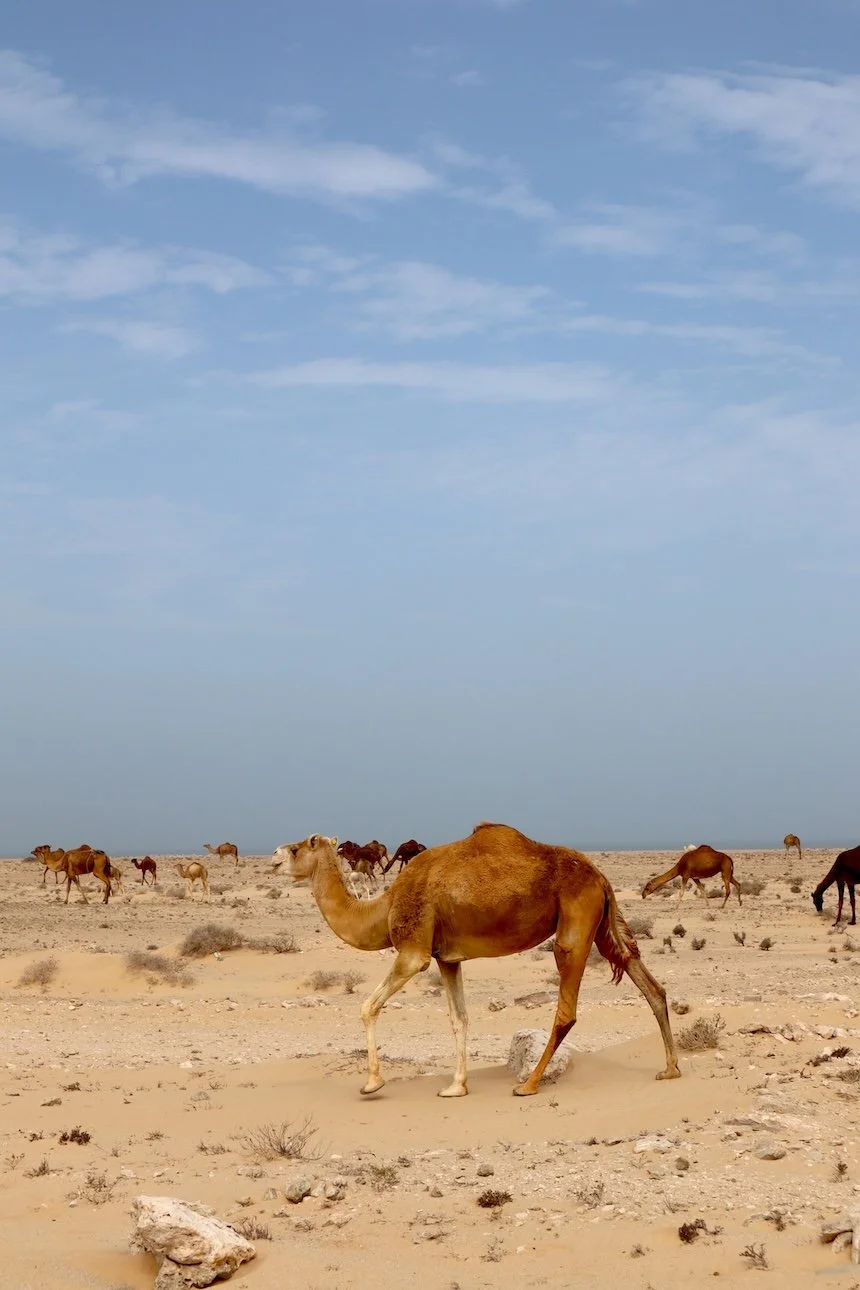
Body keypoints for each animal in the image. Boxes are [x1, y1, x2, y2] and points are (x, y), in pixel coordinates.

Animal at [277, 824, 679, 1098]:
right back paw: (670, 1069)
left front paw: (372, 1083)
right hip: (601, 922)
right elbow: (459, 1018)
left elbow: (367, 1006)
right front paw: (456, 1086)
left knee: (567, 1006)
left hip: (576, 919)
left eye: (298, 847)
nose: (275, 858)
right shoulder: (447, 958)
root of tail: (600, 875)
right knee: (645, 979)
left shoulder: (414, 951)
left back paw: (528, 1084)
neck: (384, 906)